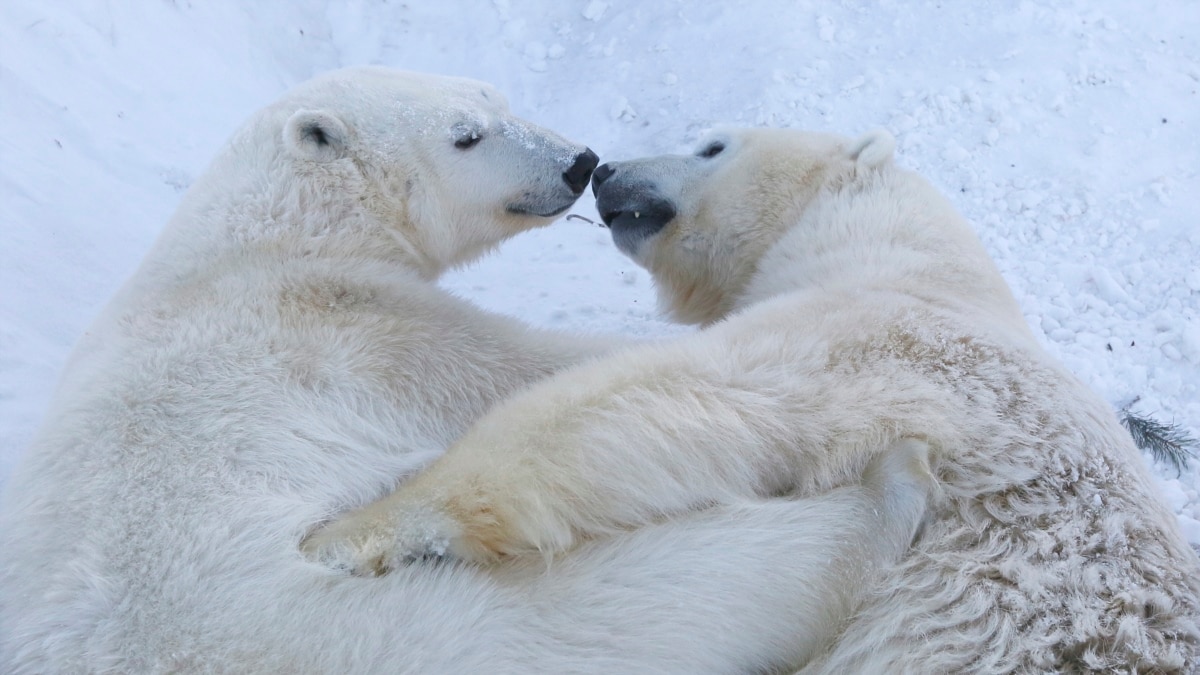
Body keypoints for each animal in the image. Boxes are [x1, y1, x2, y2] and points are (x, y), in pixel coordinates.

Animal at [0, 66, 936, 672]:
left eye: (498, 98)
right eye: (467, 134)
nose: (580, 160)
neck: (260, 239)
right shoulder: (354, 329)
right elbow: (516, 370)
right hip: (339, 630)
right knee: (642, 602)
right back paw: (886, 489)